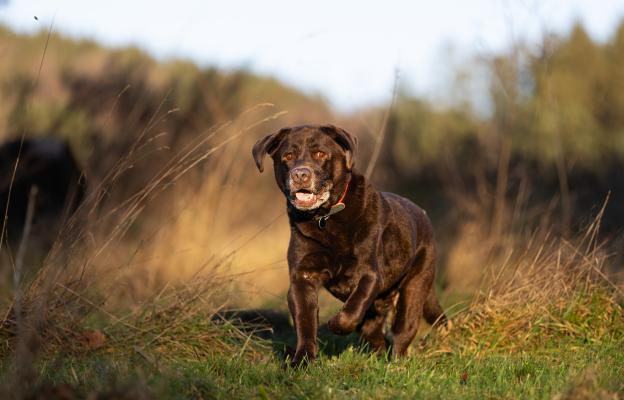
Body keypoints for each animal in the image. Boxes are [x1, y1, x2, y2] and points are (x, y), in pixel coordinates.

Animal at [251, 125, 446, 366]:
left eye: (320, 154)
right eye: (287, 156)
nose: (300, 174)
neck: (324, 218)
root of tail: (423, 215)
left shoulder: (369, 274)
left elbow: (352, 309)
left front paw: (334, 324)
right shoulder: (302, 278)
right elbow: (305, 322)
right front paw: (302, 360)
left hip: (415, 285)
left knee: (402, 330)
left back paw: (396, 363)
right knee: (375, 335)